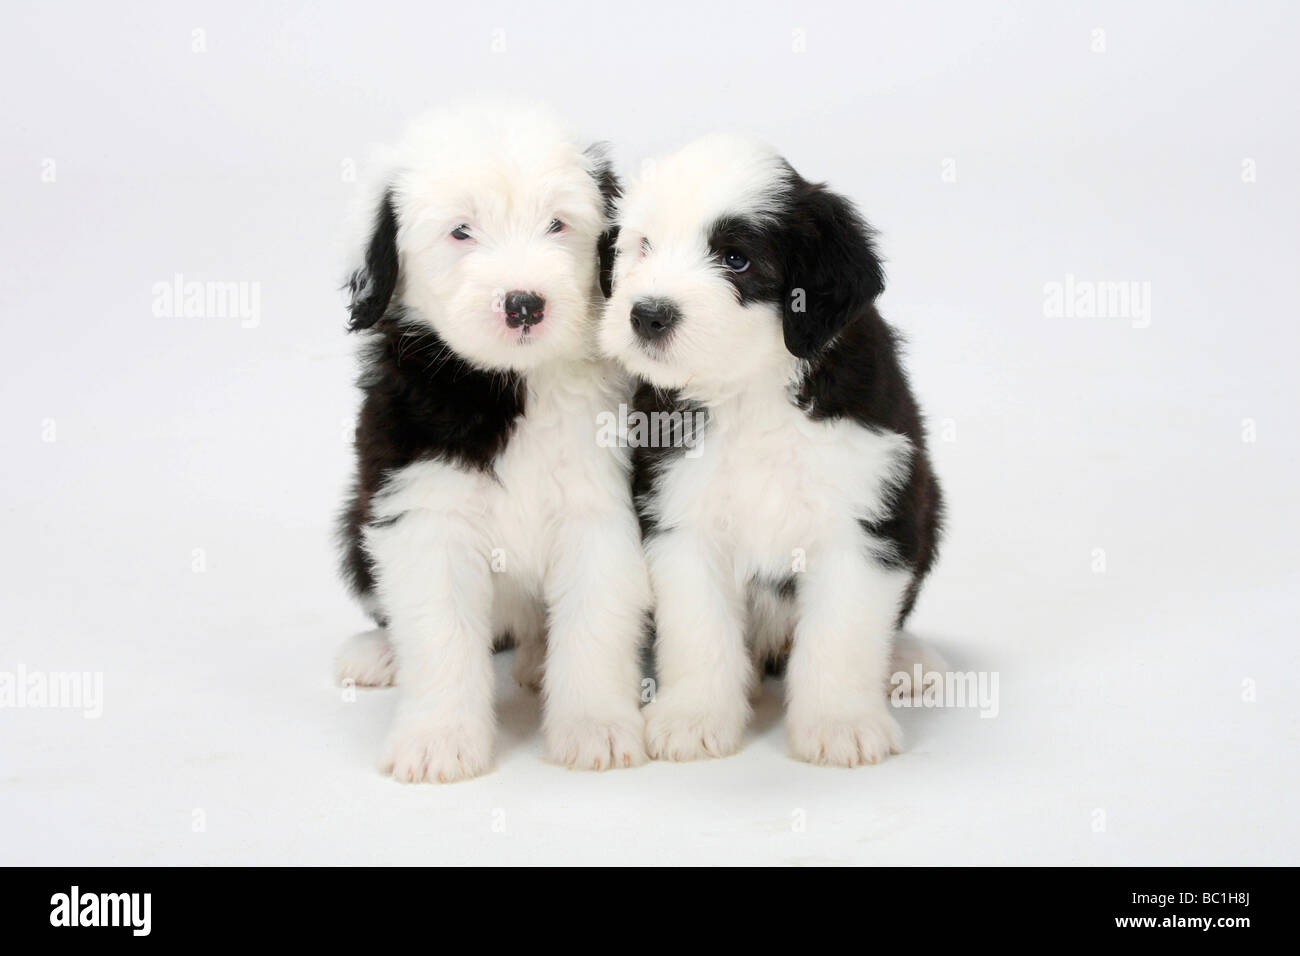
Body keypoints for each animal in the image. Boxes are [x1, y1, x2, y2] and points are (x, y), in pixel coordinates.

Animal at [335, 104, 650, 780]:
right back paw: (379, 654)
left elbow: (595, 625)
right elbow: (440, 633)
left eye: (558, 223)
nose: (524, 304)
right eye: (461, 232)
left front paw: (596, 728)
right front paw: (437, 740)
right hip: (354, 523)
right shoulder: (423, 509)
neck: (516, 384)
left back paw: (535, 660)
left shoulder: (601, 509)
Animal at [598, 130, 946, 764]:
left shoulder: (862, 516)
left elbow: (842, 632)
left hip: (927, 508)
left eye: (736, 259)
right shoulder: (682, 517)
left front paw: (840, 723)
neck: (750, 391)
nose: (647, 315)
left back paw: (906, 660)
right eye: (644, 246)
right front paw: (694, 717)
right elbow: (699, 629)